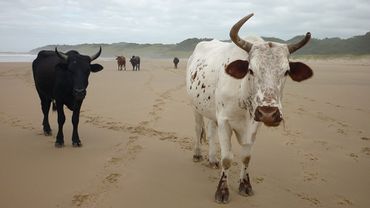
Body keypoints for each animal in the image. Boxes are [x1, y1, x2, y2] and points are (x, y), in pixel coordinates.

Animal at [185, 13, 312, 204]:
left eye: (286, 72)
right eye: (251, 70)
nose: (268, 113)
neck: (243, 96)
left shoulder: (253, 125)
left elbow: (246, 157)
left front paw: (245, 185)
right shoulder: (225, 122)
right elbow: (227, 158)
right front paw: (222, 191)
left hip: (212, 112)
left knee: (211, 131)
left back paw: (212, 159)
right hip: (195, 107)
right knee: (198, 128)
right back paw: (198, 154)